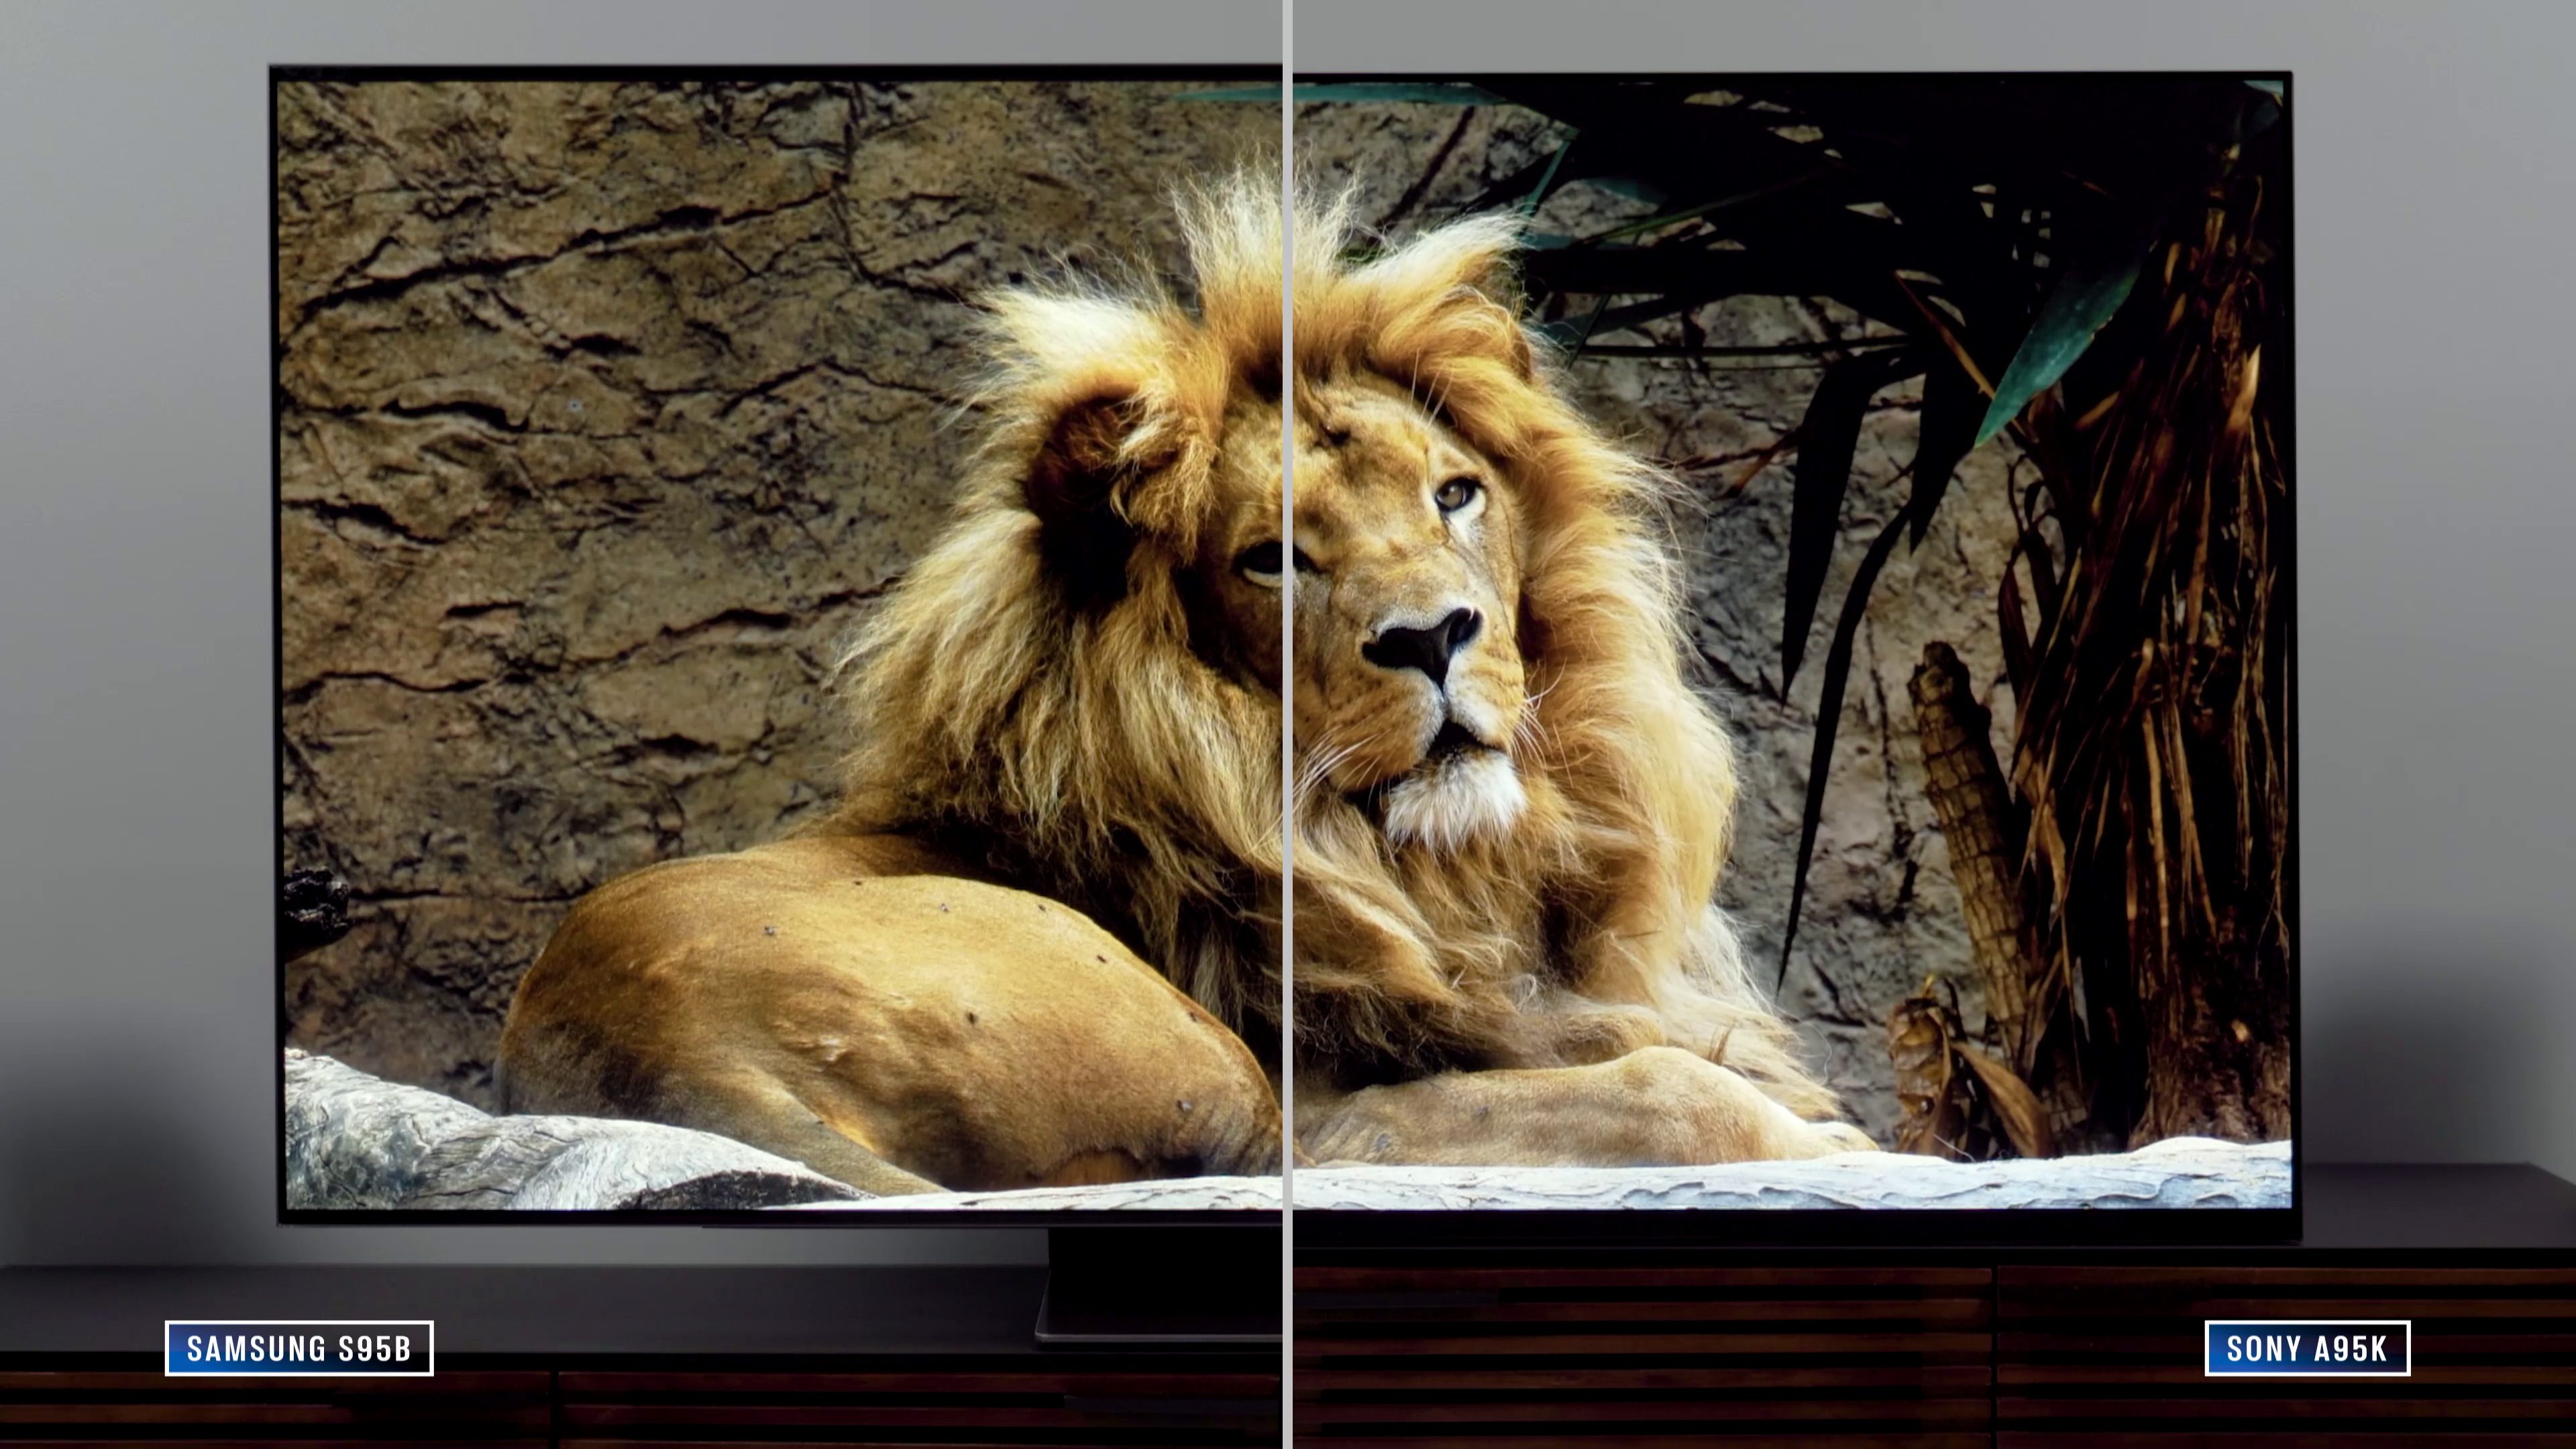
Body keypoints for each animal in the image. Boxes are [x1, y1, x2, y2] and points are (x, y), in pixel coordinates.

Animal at [1284, 186, 1877, 1168]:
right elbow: (1662, 1083)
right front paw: (1848, 1150)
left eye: (1454, 496)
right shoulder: (1311, 1115)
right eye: (1285, 552)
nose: (1432, 638)